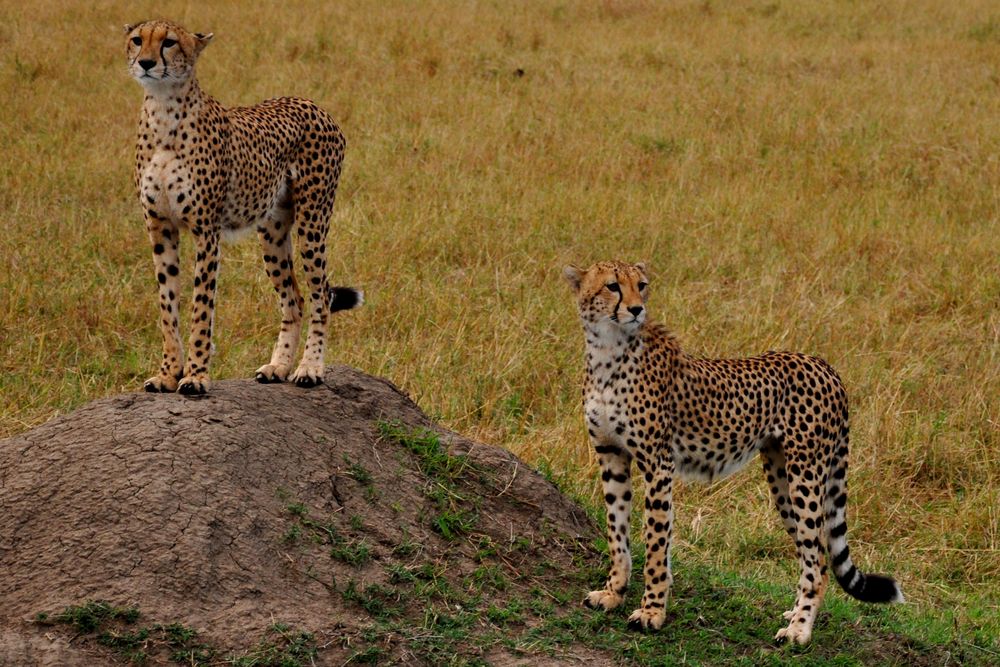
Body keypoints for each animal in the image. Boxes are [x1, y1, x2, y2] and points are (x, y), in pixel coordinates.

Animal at [124, 19, 360, 396]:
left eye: (169, 42)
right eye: (137, 40)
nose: (146, 63)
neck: (163, 110)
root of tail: (310, 102)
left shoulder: (206, 230)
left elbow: (201, 307)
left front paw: (195, 375)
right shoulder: (159, 227)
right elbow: (167, 305)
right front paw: (168, 373)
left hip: (313, 221)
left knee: (320, 294)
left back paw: (309, 368)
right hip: (273, 234)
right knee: (294, 298)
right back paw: (278, 367)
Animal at [564, 260, 908, 640]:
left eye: (641, 285)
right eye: (612, 286)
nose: (637, 309)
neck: (607, 350)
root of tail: (823, 364)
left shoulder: (658, 464)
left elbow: (655, 542)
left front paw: (652, 611)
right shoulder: (610, 454)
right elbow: (617, 531)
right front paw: (613, 592)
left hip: (806, 474)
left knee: (818, 559)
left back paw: (799, 631)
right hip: (782, 477)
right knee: (811, 552)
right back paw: (795, 615)